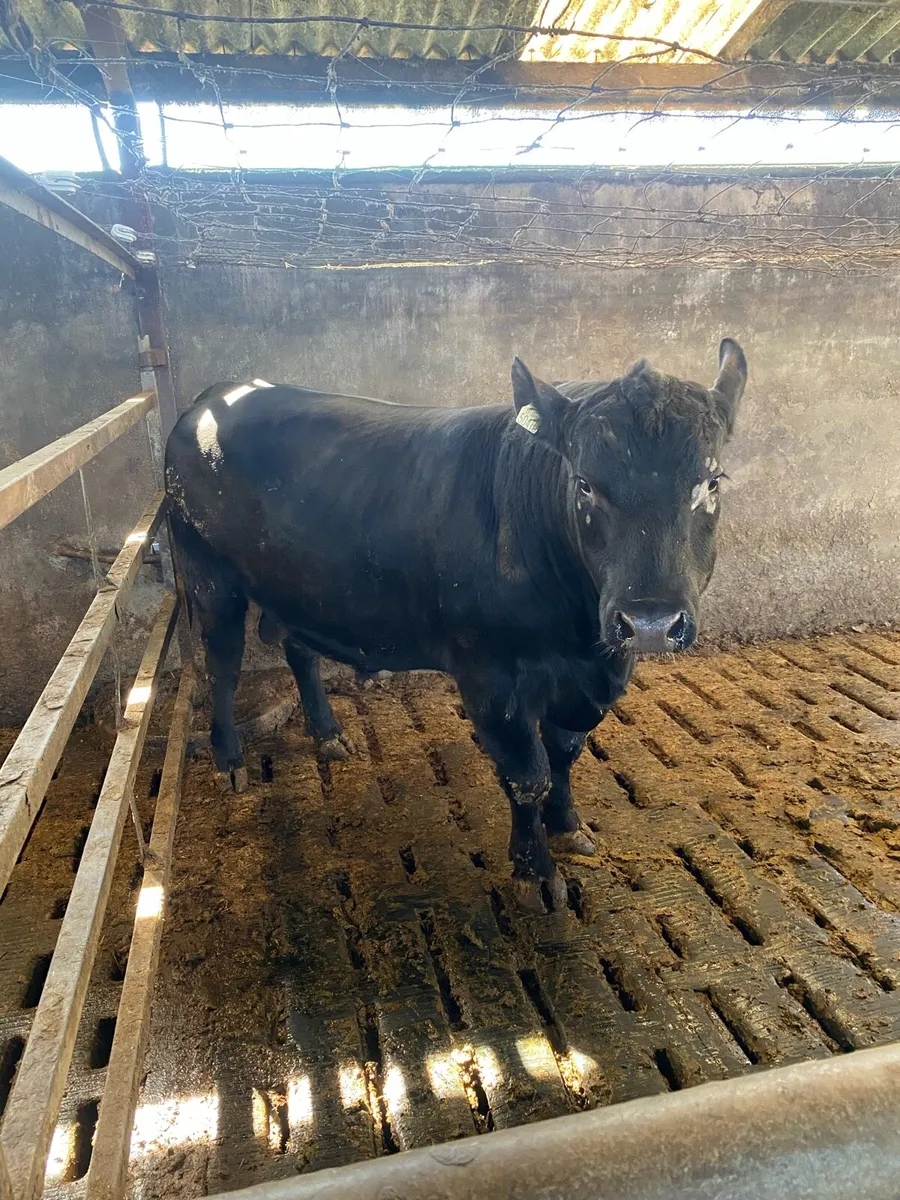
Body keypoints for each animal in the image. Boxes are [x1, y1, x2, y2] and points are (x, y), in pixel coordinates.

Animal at [165, 340, 747, 913]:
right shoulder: (490, 677)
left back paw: (328, 735)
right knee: (222, 666)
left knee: (299, 650)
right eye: (584, 484)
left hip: (296, 587)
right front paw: (535, 874)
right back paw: (229, 759)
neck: (579, 642)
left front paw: (568, 828)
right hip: (208, 576)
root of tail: (217, 393)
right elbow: (527, 776)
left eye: (712, 482)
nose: (650, 620)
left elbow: (565, 753)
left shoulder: (589, 679)